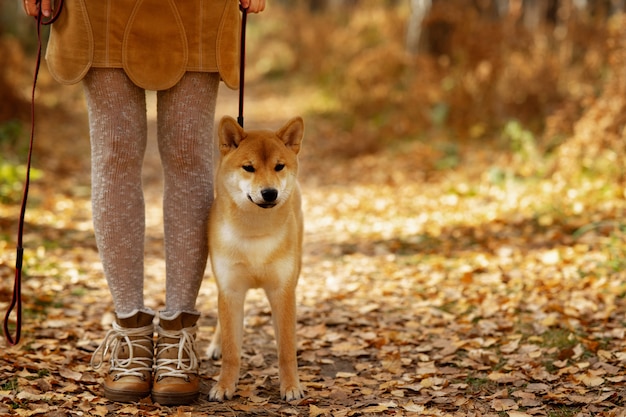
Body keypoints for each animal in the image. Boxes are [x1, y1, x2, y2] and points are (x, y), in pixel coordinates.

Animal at [207, 115, 304, 402]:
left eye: (279, 166)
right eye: (248, 168)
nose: (270, 192)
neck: (255, 233)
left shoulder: (283, 290)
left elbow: (286, 350)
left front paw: (291, 386)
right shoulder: (230, 289)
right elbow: (231, 350)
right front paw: (224, 385)